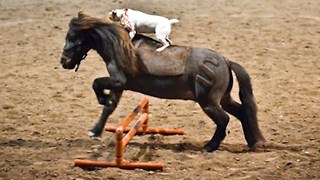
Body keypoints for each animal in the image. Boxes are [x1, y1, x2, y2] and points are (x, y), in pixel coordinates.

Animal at [59, 11, 264, 151]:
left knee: (224, 119)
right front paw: (96, 130)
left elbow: (96, 83)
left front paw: (100, 101)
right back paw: (252, 142)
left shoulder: (117, 81)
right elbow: (109, 107)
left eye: (74, 40)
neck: (121, 46)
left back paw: (210, 146)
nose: (64, 61)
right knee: (242, 111)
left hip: (209, 103)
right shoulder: (120, 85)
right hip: (224, 99)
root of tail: (224, 60)